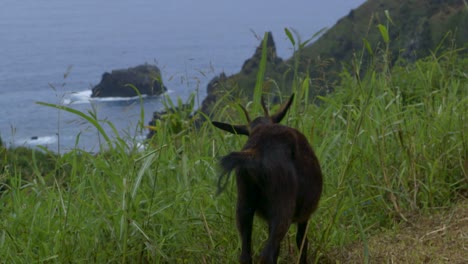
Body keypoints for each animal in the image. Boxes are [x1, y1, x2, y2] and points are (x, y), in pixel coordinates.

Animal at [212, 94, 322, 262]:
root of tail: (254, 153)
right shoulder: (304, 214)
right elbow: (301, 241)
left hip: (244, 205)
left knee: (245, 254)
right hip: (283, 207)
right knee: (267, 253)